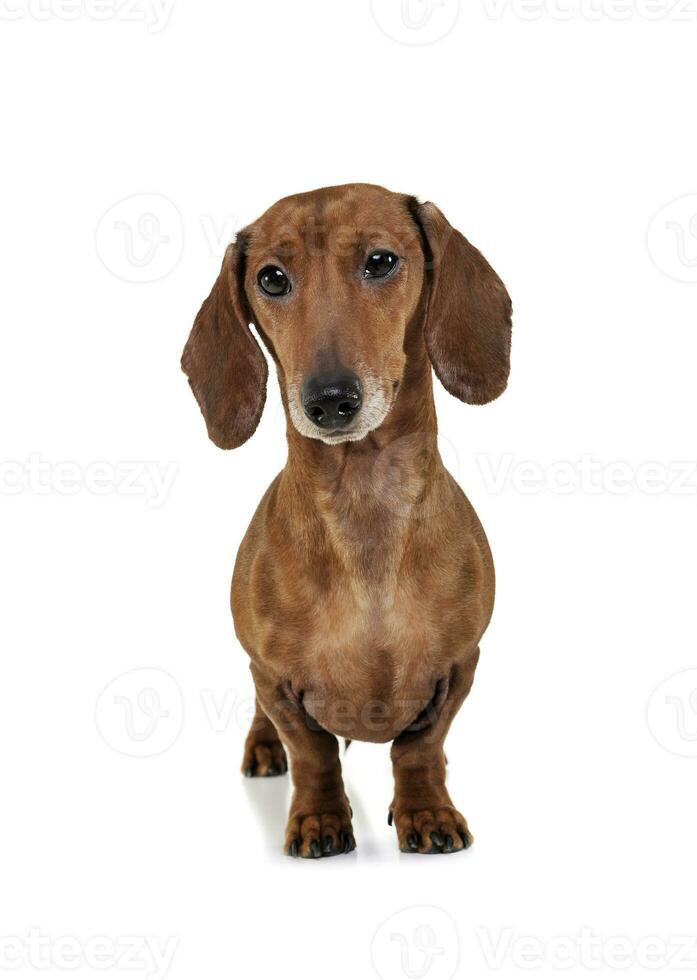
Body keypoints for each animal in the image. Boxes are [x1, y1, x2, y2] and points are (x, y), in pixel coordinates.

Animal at [182, 182, 512, 856]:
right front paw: (319, 818)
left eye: (381, 262)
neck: (366, 509)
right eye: (272, 278)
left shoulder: (460, 665)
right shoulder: (275, 677)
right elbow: (312, 753)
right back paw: (262, 749)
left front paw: (427, 810)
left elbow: (420, 748)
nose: (330, 400)